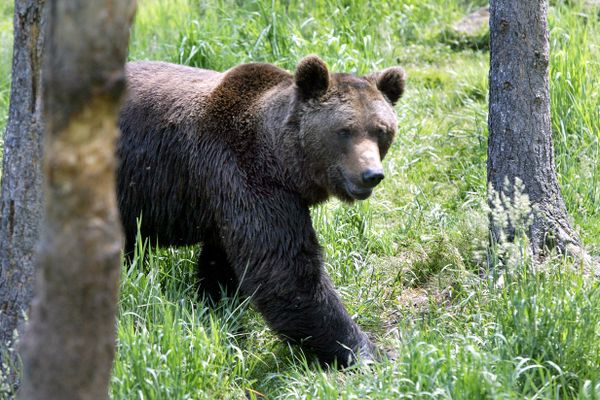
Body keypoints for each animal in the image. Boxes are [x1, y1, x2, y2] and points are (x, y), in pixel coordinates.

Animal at [118, 55, 406, 366]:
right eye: (344, 130)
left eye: (381, 131)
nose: (371, 174)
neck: (283, 162)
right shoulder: (246, 176)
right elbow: (287, 273)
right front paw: (367, 351)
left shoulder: (228, 198)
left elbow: (225, 262)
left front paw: (217, 303)